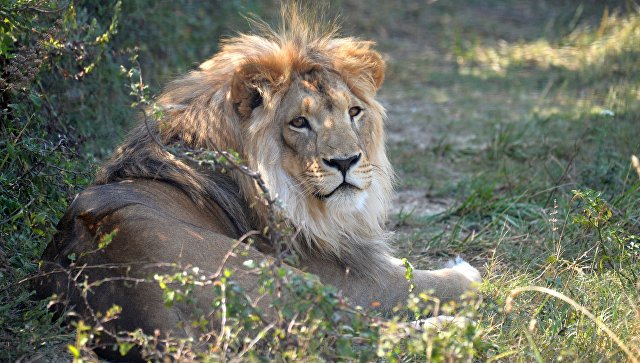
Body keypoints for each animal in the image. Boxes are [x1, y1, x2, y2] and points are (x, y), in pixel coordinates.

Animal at [32, 4, 478, 362]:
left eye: (354, 112)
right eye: (299, 122)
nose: (346, 161)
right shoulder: (350, 278)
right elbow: (414, 281)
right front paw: (465, 273)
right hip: (289, 279)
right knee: (355, 333)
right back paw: (449, 327)